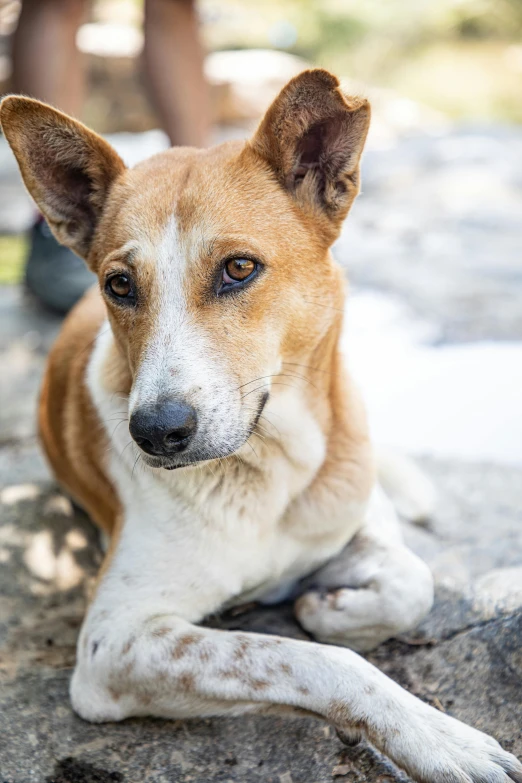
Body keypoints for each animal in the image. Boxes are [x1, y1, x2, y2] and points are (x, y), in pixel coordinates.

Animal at [2, 70, 516, 780]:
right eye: (119, 285)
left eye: (239, 268)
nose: (155, 432)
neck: (268, 474)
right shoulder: (113, 644)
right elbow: (314, 659)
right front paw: (436, 738)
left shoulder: (351, 512)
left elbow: (413, 583)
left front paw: (330, 607)